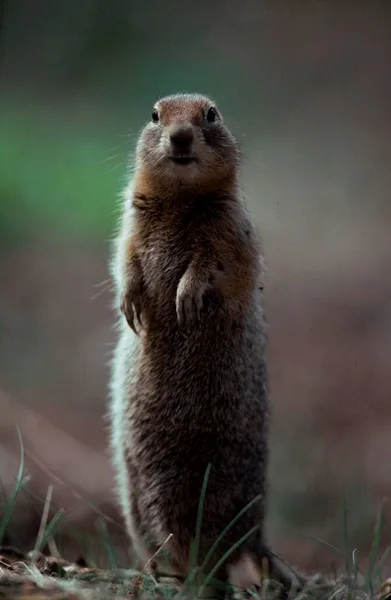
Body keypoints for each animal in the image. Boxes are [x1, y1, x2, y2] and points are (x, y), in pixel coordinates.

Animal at [108, 92, 298, 596]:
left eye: (211, 114)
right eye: (154, 115)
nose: (179, 137)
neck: (179, 198)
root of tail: (256, 536)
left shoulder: (229, 229)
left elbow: (214, 263)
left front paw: (186, 298)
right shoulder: (131, 222)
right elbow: (125, 258)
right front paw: (131, 302)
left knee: (216, 563)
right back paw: (157, 573)